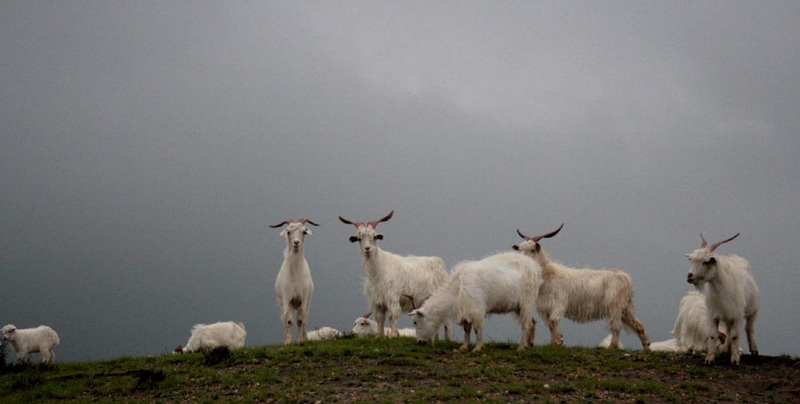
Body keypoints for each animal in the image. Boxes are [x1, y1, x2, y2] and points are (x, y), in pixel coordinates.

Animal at [338, 210, 450, 340]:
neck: (379, 269)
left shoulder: (393, 296)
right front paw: (379, 336)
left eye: (374, 237)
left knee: (447, 322)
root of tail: (439, 263)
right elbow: (379, 318)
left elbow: (393, 314)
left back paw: (448, 340)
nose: (367, 248)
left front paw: (393, 335)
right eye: (359, 238)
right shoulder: (377, 300)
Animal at [410, 251, 540, 352]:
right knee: (532, 321)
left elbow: (477, 329)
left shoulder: (476, 308)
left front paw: (478, 347)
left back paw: (521, 347)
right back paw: (529, 345)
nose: (419, 342)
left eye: (415, 322)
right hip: (518, 306)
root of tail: (533, 266)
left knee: (526, 324)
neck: (456, 290)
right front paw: (464, 347)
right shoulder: (467, 310)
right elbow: (467, 329)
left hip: (526, 301)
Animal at [512, 224, 648, 350]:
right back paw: (646, 346)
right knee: (638, 324)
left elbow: (554, 320)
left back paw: (612, 346)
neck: (549, 276)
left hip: (615, 306)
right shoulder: (545, 307)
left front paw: (559, 341)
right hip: (626, 307)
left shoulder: (559, 303)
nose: (521, 261)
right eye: (519, 249)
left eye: (532, 250)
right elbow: (550, 324)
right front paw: (552, 343)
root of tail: (624, 276)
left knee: (616, 326)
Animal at [684, 230, 760, 366]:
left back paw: (754, 349)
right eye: (691, 260)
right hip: (727, 317)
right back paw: (725, 349)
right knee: (728, 331)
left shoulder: (737, 315)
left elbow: (735, 335)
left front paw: (735, 359)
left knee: (749, 328)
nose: (689, 276)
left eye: (705, 261)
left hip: (753, 310)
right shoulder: (714, 314)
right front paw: (710, 358)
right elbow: (714, 335)